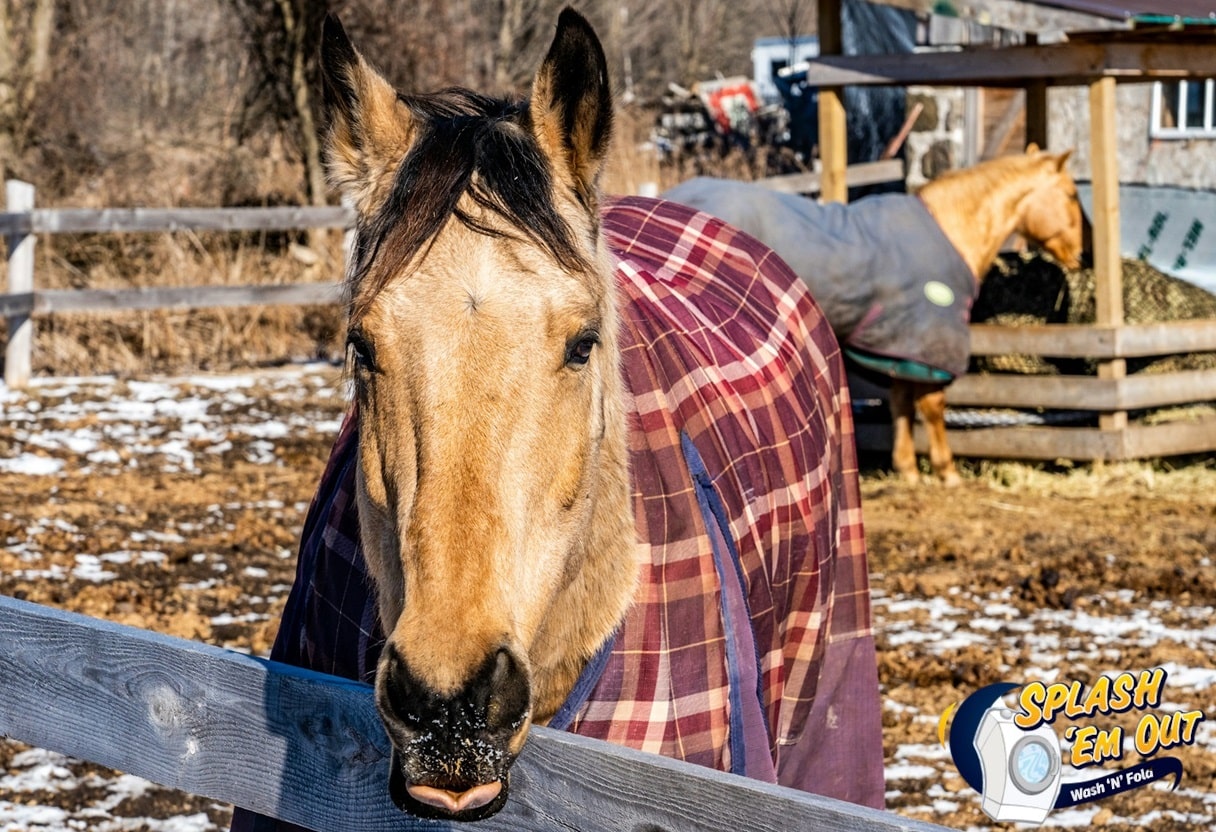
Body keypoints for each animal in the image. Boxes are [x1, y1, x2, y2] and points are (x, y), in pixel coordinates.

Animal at [666, 149, 1084, 484]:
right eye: (1070, 194)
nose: (1079, 255)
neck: (951, 229)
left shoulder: (901, 344)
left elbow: (900, 401)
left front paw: (908, 470)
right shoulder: (929, 339)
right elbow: (932, 406)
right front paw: (947, 471)